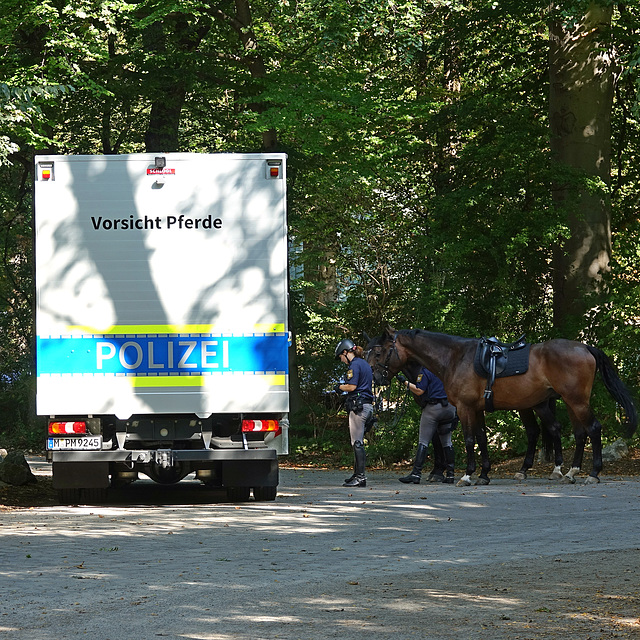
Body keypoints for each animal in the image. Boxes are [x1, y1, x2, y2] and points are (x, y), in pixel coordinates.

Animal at [362, 324, 636, 484]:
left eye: (379, 352)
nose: (375, 378)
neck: (455, 358)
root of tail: (585, 348)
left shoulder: (465, 408)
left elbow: (469, 440)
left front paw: (467, 475)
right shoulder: (478, 409)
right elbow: (482, 439)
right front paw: (484, 474)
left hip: (575, 401)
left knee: (593, 429)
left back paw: (593, 473)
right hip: (569, 402)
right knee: (579, 433)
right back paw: (569, 472)